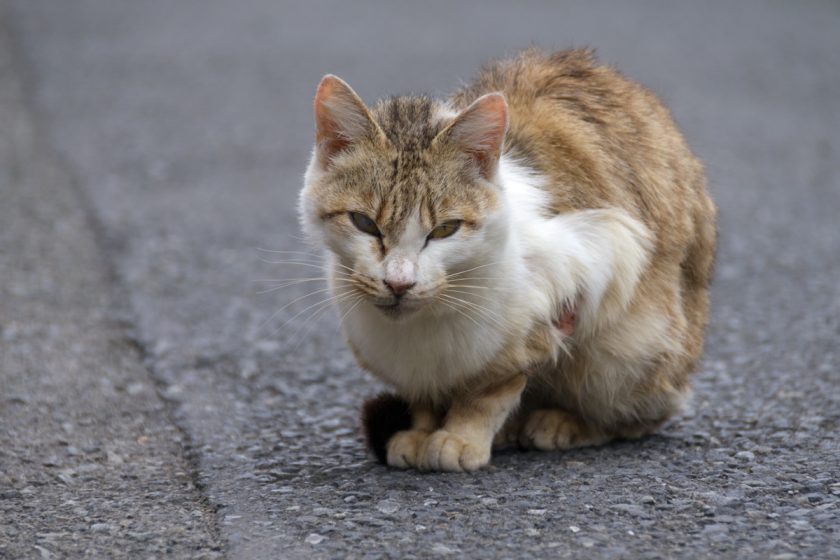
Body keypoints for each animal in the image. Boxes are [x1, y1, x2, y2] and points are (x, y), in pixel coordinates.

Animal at [296, 48, 716, 470]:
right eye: (364, 223)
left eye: (445, 230)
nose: (400, 283)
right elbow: (425, 391)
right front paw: (422, 428)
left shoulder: (595, 260)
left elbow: (494, 384)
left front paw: (461, 436)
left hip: (638, 345)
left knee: (639, 412)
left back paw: (565, 423)